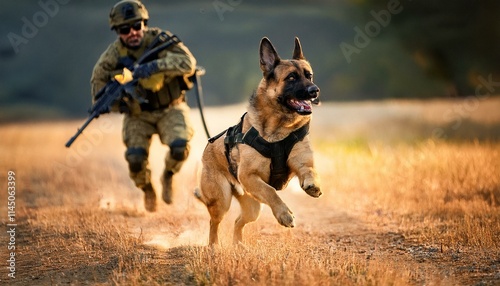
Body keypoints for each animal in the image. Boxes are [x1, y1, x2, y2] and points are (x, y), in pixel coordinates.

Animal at [195, 36, 320, 245]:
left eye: (309, 75)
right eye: (291, 77)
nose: (315, 91)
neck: (279, 129)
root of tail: (206, 151)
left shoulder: (301, 161)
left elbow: (310, 170)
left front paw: (313, 185)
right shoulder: (249, 176)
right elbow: (271, 191)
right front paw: (285, 214)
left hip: (253, 207)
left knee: (238, 221)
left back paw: (238, 245)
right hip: (222, 201)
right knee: (214, 222)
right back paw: (214, 246)